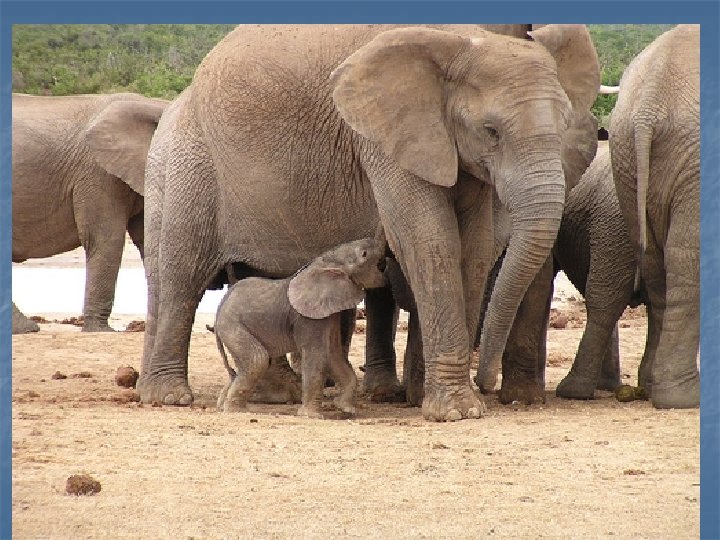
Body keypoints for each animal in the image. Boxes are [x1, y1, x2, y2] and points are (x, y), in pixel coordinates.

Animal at [215, 238, 386, 418]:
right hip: (232, 325)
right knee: (258, 360)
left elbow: (333, 354)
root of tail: (220, 306)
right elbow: (318, 354)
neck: (327, 262)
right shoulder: (309, 319)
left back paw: (223, 406)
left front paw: (346, 409)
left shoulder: (328, 314)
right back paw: (237, 411)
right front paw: (312, 416)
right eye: (364, 254)